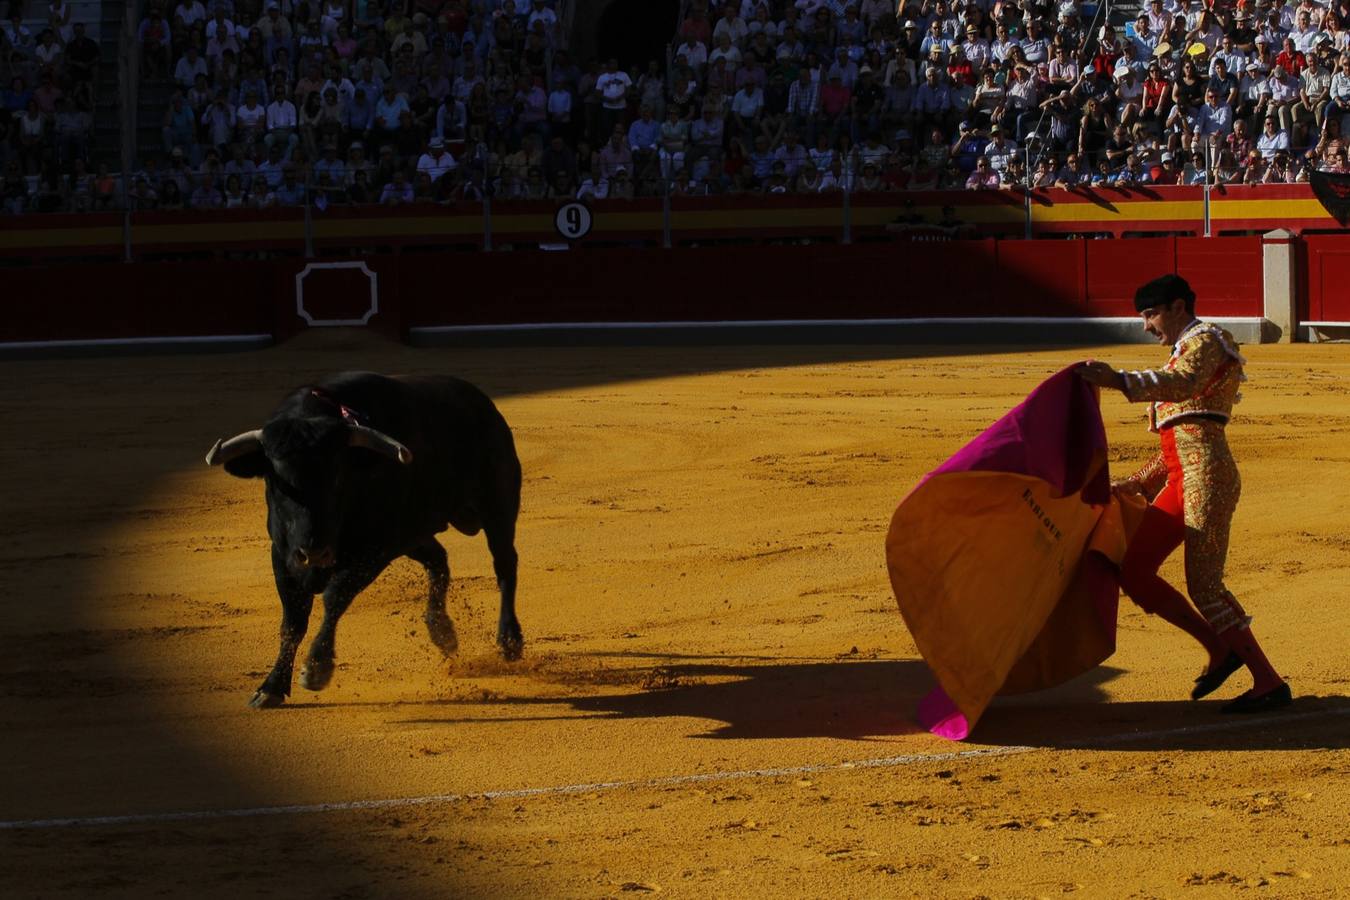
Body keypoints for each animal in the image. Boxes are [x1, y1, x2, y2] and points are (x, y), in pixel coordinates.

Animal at [205, 372, 521, 712]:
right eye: (276, 480)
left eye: (338, 477)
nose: (315, 552)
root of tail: (483, 404)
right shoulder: (283, 555)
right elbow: (292, 621)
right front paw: (272, 687)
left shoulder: (373, 552)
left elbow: (334, 597)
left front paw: (316, 669)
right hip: (413, 535)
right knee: (439, 560)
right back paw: (442, 631)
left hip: (497, 507)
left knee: (504, 565)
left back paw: (510, 641)